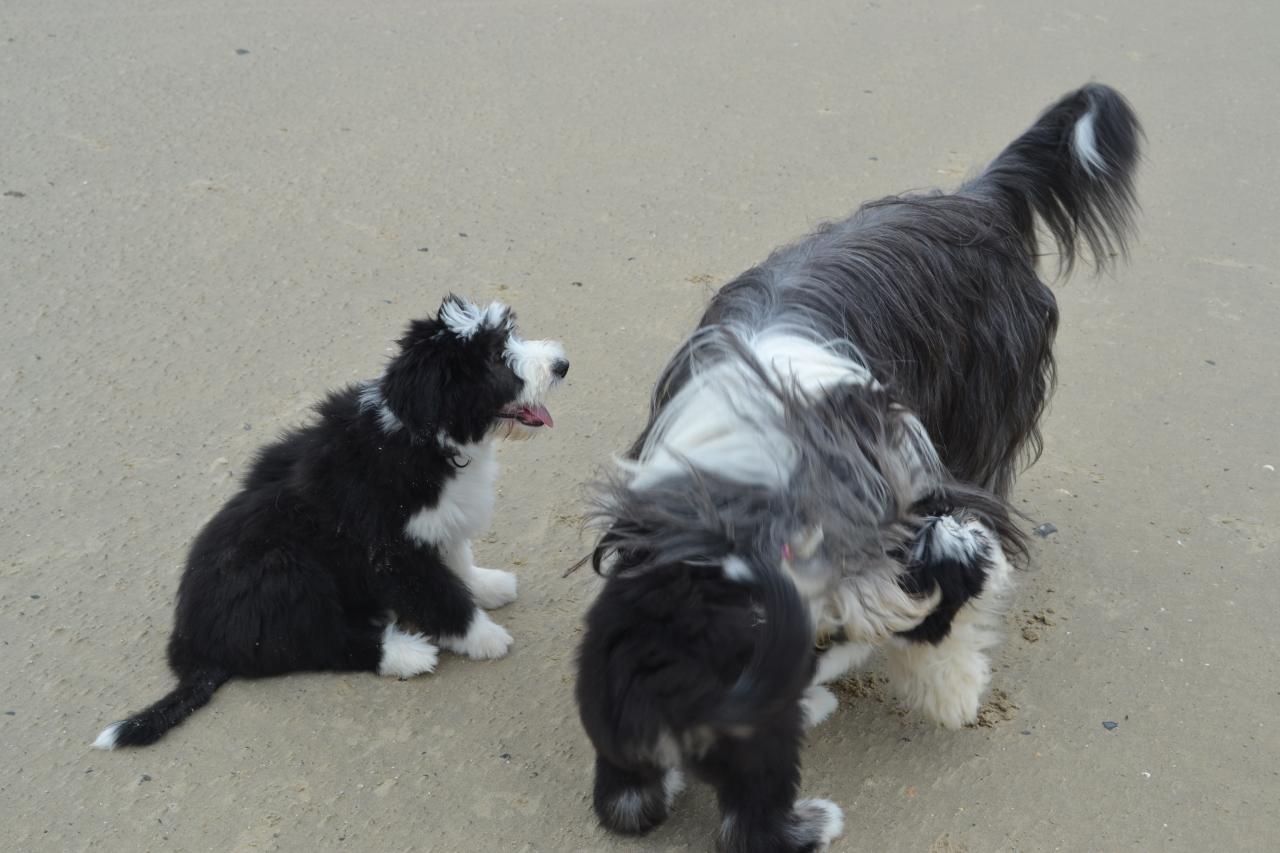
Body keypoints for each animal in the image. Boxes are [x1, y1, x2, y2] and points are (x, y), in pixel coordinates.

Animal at [92, 295, 568, 747]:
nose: (562, 365)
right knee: (321, 645)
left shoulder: (434, 523)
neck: (420, 438)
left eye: (509, 335)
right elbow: (440, 595)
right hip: (287, 571)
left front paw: (484, 585)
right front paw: (483, 637)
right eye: (494, 358)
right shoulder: (389, 550)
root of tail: (192, 647)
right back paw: (404, 653)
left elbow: (455, 559)